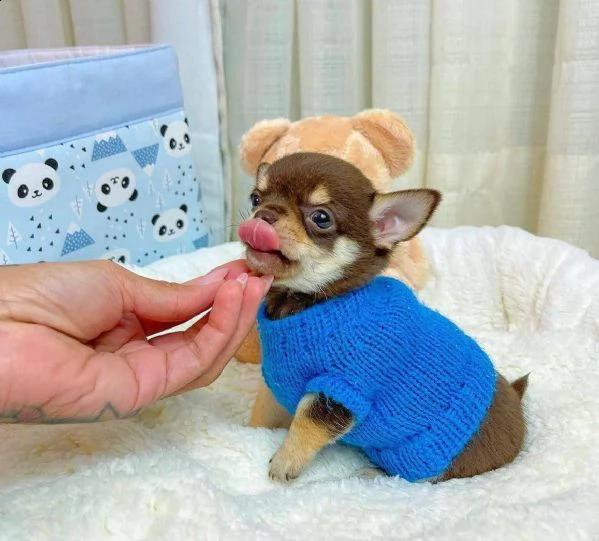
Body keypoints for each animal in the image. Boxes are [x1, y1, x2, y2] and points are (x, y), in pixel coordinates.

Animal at [239, 151, 528, 480]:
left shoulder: (340, 389)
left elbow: (305, 424)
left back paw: (371, 473)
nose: (264, 215)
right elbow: (264, 413)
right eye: (255, 198)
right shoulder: (278, 383)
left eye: (321, 218)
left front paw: (284, 461)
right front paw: (250, 433)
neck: (307, 302)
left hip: (427, 455)